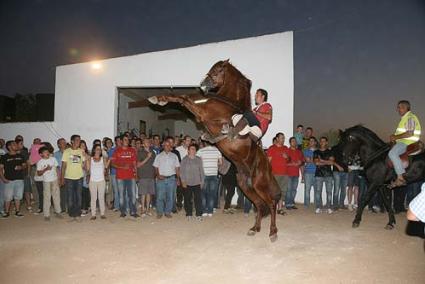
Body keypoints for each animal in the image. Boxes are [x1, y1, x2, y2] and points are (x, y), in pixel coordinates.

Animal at [149, 60, 282, 242]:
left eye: (218, 70)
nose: (202, 85)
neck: (228, 102)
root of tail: (266, 163)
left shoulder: (204, 113)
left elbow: (186, 99)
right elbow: (184, 97)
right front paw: (159, 99)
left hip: (258, 183)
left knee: (271, 203)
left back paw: (273, 232)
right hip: (246, 185)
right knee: (260, 205)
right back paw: (255, 228)